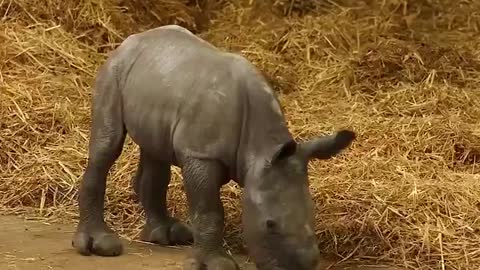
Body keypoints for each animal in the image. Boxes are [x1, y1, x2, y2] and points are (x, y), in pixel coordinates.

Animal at [73, 25, 354, 270]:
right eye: (270, 224)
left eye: (313, 217)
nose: (302, 266)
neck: (259, 149)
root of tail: (133, 39)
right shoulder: (201, 154)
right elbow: (209, 211)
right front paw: (217, 264)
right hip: (114, 71)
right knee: (107, 146)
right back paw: (101, 246)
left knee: (155, 151)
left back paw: (167, 236)